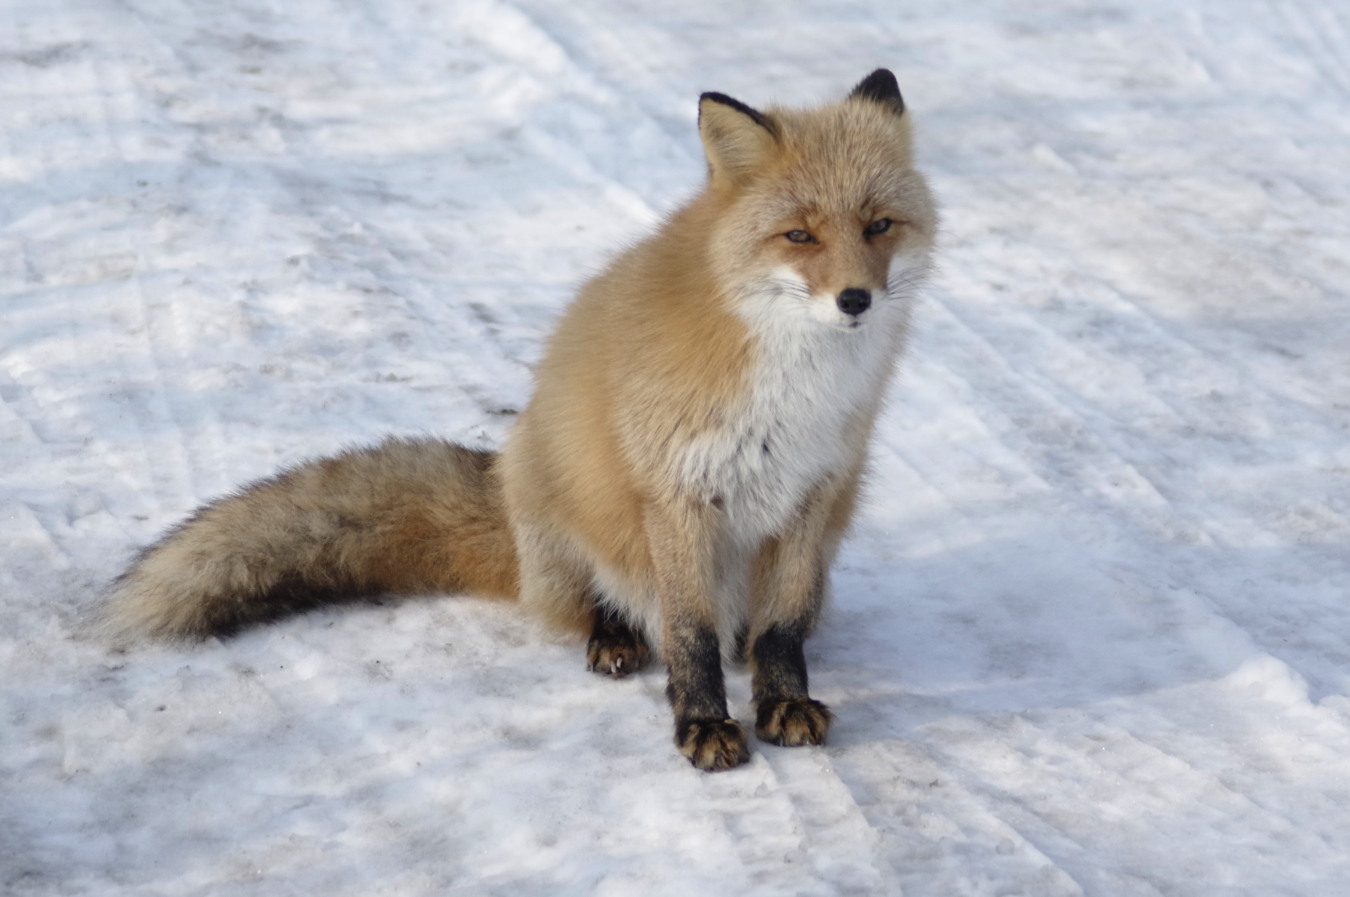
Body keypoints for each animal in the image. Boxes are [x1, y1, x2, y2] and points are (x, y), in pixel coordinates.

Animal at [102, 70, 939, 772]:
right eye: (799, 235)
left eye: (879, 225)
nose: (856, 300)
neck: (795, 383)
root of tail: (502, 488)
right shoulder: (676, 494)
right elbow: (690, 634)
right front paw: (701, 723)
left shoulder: (813, 492)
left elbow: (781, 628)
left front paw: (784, 701)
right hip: (568, 510)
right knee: (603, 608)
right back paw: (614, 637)